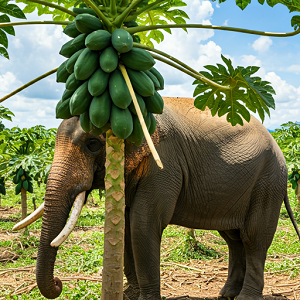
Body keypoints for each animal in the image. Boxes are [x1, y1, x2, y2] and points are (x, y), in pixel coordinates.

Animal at [22, 97, 298, 298]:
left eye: (92, 144)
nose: (58, 283)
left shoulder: (164, 163)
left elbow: (143, 223)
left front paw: (144, 298)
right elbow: (127, 225)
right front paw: (130, 295)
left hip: (269, 182)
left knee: (253, 238)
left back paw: (244, 297)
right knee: (233, 238)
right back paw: (226, 295)